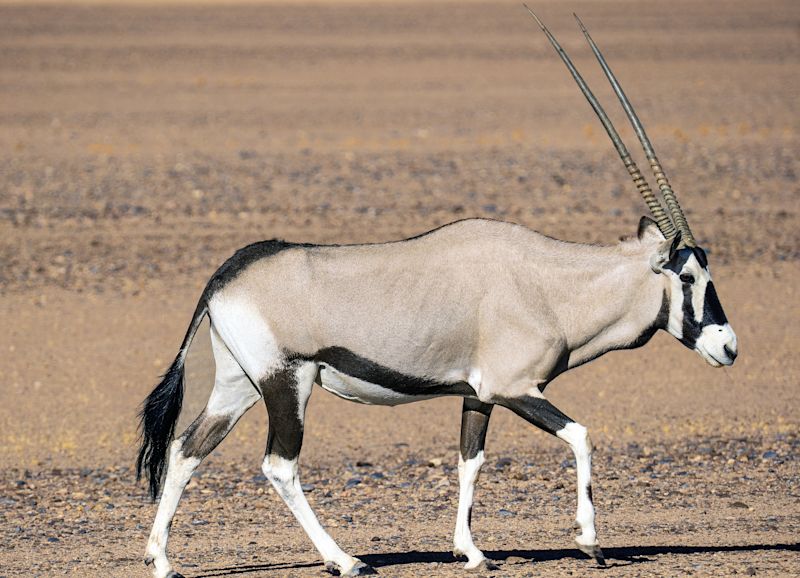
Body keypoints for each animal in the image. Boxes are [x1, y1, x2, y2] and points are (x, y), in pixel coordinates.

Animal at [136, 10, 736, 576]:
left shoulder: (479, 393)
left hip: (239, 383)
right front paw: (589, 541)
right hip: (288, 382)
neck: (549, 287)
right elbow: (582, 437)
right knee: (279, 466)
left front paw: (471, 551)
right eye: (687, 277)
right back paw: (348, 560)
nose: (728, 347)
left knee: (185, 450)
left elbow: (471, 461)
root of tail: (225, 275)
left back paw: (163, 560)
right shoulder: (516, 387)